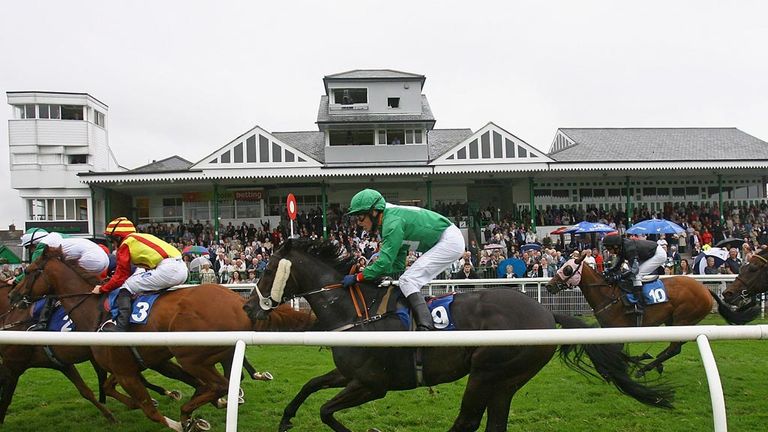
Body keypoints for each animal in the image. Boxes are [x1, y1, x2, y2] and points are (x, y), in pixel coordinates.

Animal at [7, 246, 314, 432]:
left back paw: (191, 412)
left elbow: (147, 408)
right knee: (217, 382)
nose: (12, 295)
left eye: (31, 271)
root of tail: (240, 302)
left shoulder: (126, 370)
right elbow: (117, 389)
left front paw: (181, 420)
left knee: (218, 383)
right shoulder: (149, 361)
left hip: (192, 355)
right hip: (199, 355)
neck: (93, 314)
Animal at [244, 238, 672, 432]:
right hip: (507, 379)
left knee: (467, 421)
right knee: (492, 422)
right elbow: (310, 387)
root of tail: (546, 311)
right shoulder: (349, 374)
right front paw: (286, 419)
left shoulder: (372, 385)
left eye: (267, 271)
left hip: (488, 370)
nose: (249, 308)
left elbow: (327, 410)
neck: (357, 313)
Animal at [544, 258, 756, 376]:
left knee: (674, 348)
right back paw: (655, 364)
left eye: (567, 269)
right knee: (675, 347)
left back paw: (646, 368)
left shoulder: (619, 331)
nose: (549, 285)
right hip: (676, 321)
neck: (608, 296)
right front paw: (640, 359)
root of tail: (705, 289)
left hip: (683, 319)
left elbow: (618, 354)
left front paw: (636, 362)